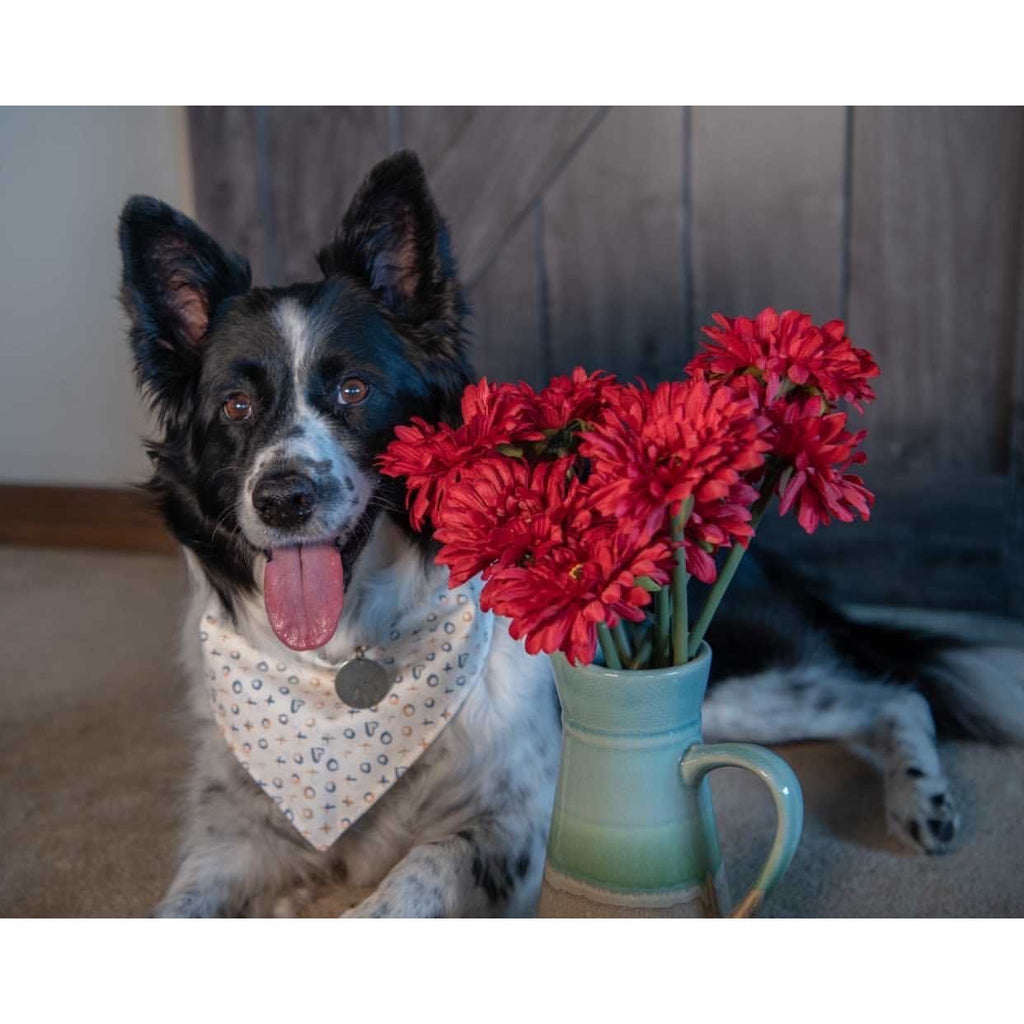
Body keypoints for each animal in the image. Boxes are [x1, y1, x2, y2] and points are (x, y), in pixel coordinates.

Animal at [121, 148, 1024, 917]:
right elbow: (176, 907)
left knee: (892, 693)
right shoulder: (232, 838)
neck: (344, 666)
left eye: (353, 390)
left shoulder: (509, 826)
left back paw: (923, 798)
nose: (283, 497)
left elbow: (406, 881)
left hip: (724, 677)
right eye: (236, 405)